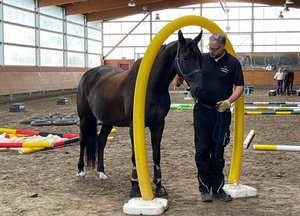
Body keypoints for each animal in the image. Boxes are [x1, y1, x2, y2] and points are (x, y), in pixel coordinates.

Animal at [76, 30, 204, 197]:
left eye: (200, 57)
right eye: (185, 57)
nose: (198, 89)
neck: (152, 86)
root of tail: (88, 75)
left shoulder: (158, 124)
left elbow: (156, 154)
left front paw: (159, 186)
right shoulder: (134, 126)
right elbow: (134, 156)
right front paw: (135, 188)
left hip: (107, 121)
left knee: (101, 141)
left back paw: (101, 172)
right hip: (85, 118)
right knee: (83, 141)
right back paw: (80, 171)